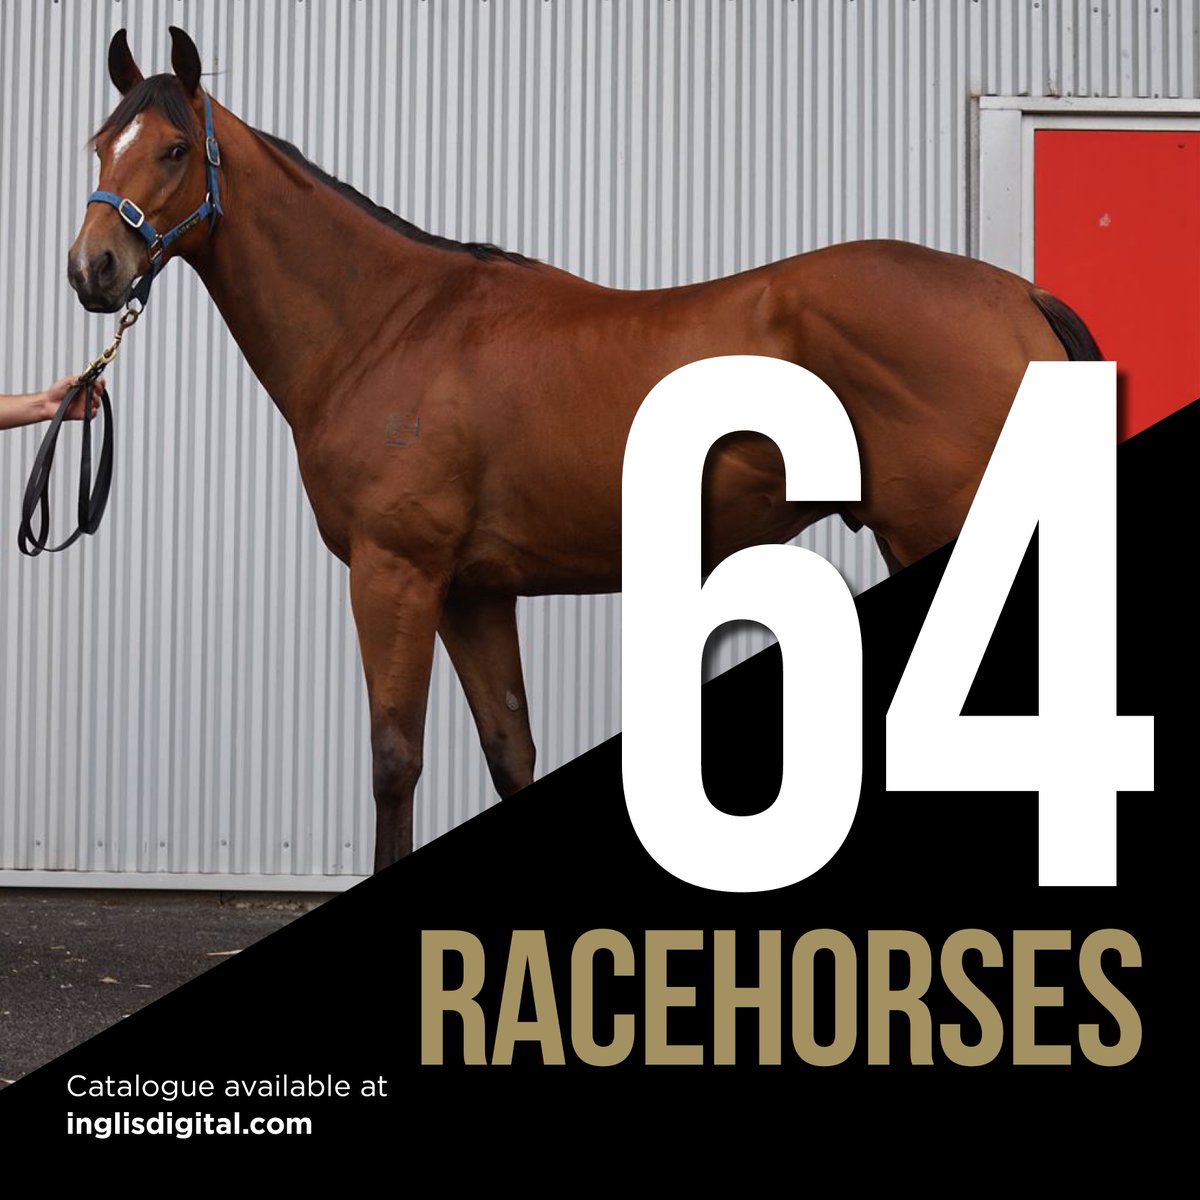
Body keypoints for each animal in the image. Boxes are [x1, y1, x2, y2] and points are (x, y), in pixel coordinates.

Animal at [67, 28, 1101, 872]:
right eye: (99, 144)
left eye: (172, 147)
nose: (91, 270)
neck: (389, 325)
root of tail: (1016, 296)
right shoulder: (474, 592)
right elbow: (509, 751)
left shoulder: (395, 573)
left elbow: (395, 760)